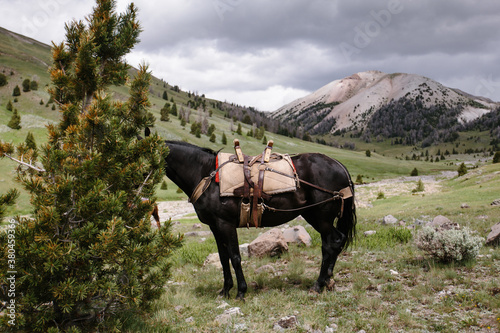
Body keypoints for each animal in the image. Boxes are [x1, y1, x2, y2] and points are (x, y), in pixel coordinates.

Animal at [164, 140, 356, 298]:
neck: (207, 175)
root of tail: (340, 166)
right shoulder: (215, 226)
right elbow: (223, 258)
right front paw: (225, 290)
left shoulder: (225, 224)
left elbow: (235, 257)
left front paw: (241, 291)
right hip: (315, 217)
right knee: (330, 244)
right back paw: (328, 280)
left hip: (320, 217)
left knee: (334, 242)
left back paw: (319, 284)